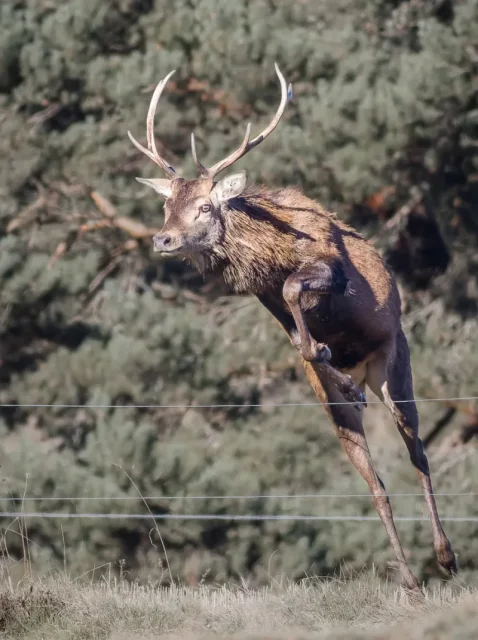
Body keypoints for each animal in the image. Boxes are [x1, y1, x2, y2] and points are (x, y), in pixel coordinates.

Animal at [128, 64, 457, 591]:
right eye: (166, 207)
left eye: (205, 206)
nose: (164, 239)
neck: (274, 252)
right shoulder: (272, 305)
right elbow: (303, 342)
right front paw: (329, 359)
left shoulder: (328, 269)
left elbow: (293, 291)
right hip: (332, 406)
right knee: (376, 484)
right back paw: (408, 578)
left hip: (395, 360)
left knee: (418, 452)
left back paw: (446, 557)